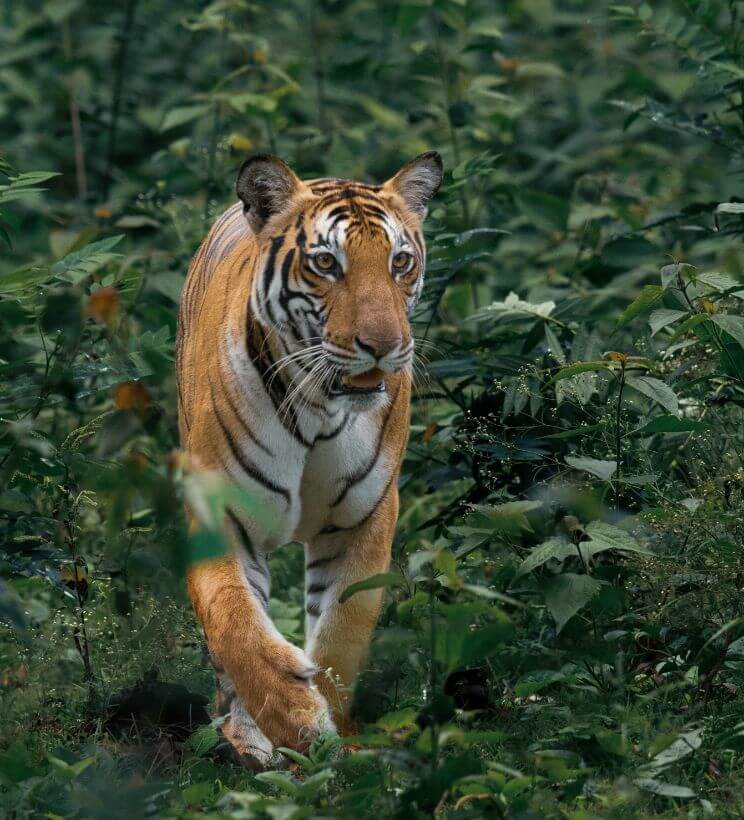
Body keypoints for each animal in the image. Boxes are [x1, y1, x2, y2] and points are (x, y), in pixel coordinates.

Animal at [174, 151, 442, 764]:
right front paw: (294, 722)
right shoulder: (219, 512)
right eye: (326, 263)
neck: (320, 408)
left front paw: (331, 734)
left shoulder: (365, 516)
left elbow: (343, 631)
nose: (383, 346)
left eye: (400, 262)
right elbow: (235, 622)